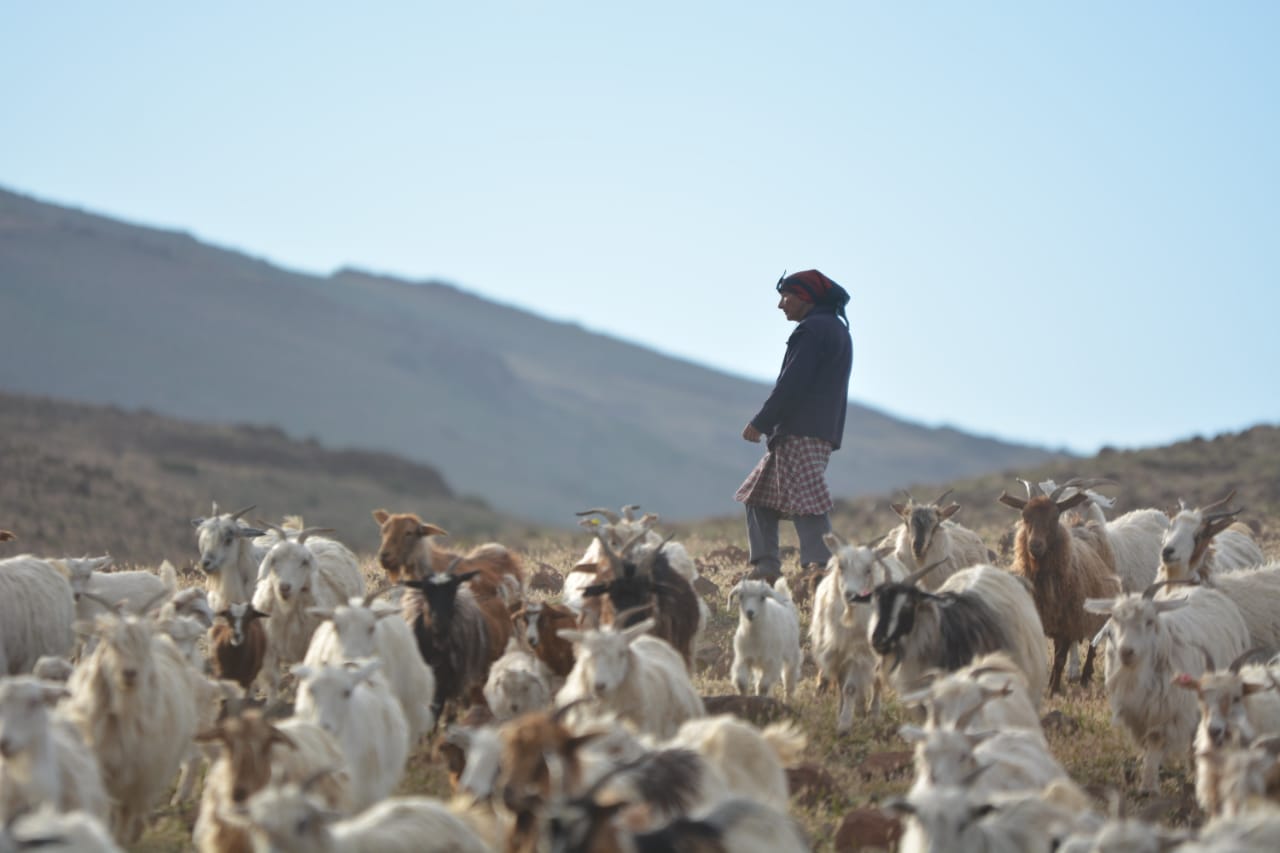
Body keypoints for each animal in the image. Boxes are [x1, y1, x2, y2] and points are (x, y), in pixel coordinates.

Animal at [62, 611, 201, 842]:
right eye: (111, 644)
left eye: (143, 647)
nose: (129, 673)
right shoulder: (104, 772)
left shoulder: (138, 782)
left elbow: (124, 819)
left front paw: (122, 839)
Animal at [251, 525, 366, 703]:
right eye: (274, 559)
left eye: (304, 562)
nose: (284, 587)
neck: (287, 609)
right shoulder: (270, 650)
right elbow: (272, 682)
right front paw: (271, 704)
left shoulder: (308, 648)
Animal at [810, 533, 908, 731]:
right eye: (841, 567)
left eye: (868, 570)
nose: (851, 594)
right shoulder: (836, 652)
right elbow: (841, 685)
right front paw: (841, 713)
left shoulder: (859, 653)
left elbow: (850, 687)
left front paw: (844, 725)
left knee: (877, 680)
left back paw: (874, 713)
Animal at [999, 476, 1122, 695]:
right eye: (1025, 515)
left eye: (1055, 516)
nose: (1035, 545)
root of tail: (1084, 526)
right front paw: (1047, 686)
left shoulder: (1068, 624)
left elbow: (1059, 659)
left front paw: (1053, 691)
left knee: (1092, 644)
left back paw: (1085, 677)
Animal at [1086, 581, 1251, 791]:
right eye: (1114, 619)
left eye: (1149, 621)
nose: (1126, 651)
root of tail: (1204, 590)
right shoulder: (1136, 713)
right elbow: (1145, 743)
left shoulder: (1169, 710)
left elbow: (1156, 740)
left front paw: (1148, 786)